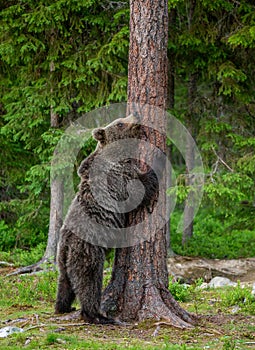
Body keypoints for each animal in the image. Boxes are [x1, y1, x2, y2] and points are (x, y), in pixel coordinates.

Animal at [54, 113, 161, 324]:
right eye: (119, 123)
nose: (135, 114)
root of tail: (68, 244)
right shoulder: (118, 178)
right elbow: (138, 191)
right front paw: (156, 166)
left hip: (62, 256)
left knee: (65, 283)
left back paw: (64, 306)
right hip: (88, 250)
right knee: (88, 282)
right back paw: (96, 315)